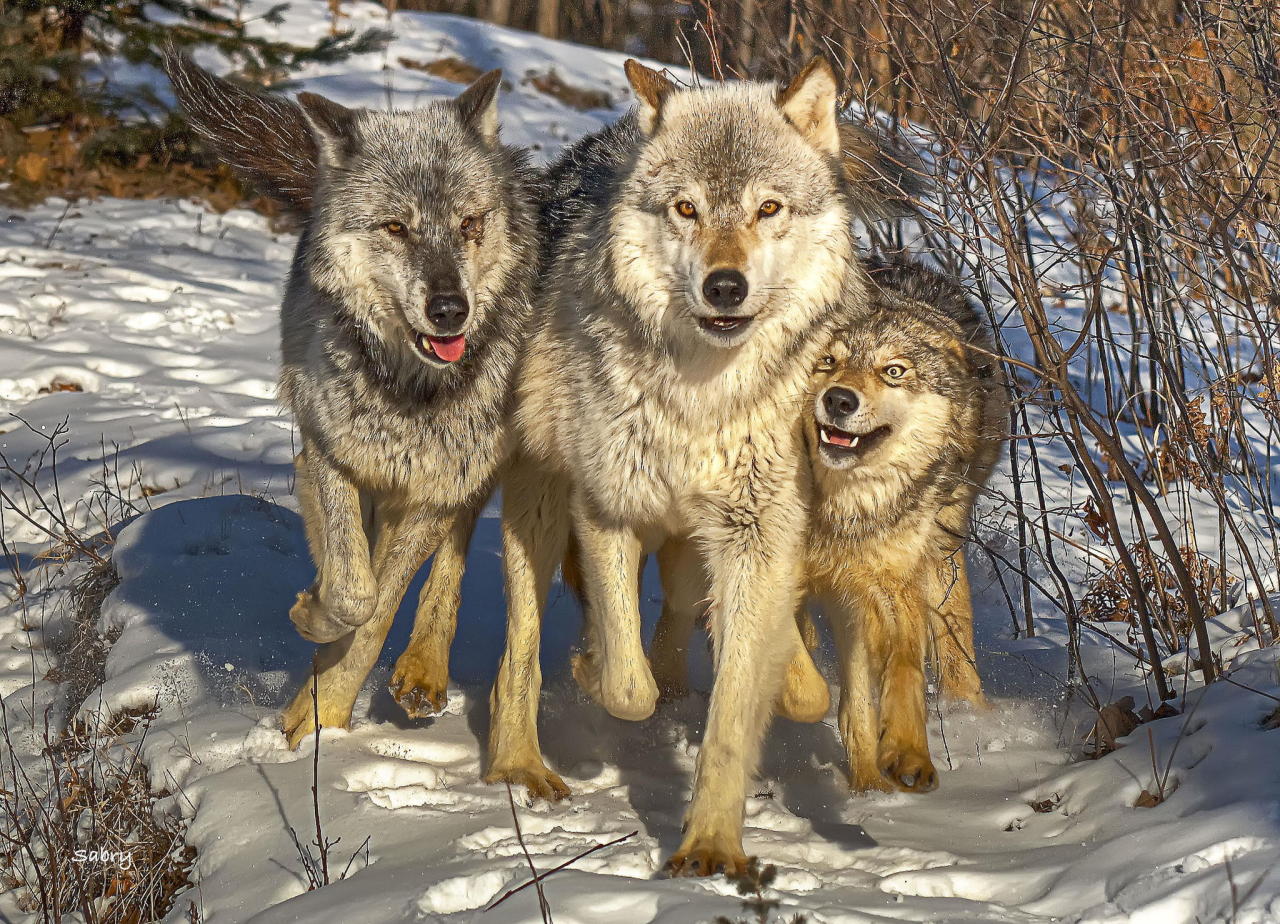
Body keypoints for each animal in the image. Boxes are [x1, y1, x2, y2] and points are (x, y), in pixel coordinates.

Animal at [162, 54, 537, 747]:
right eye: (397, 227)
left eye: (469, 225)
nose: (450, 310)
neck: (409, 393)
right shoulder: (331, 458)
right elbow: (352, 593)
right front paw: (314, 612)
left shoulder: (433, 493)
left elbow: (376, 610)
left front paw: (324, 714)